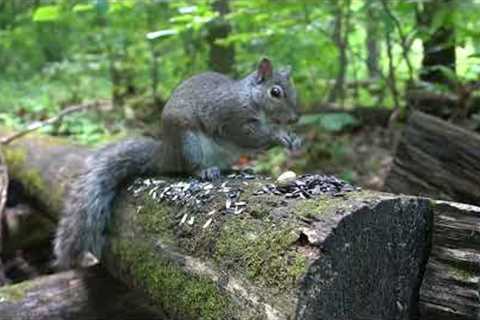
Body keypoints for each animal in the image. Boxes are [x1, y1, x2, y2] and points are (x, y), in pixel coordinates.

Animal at [53, 57, 300, 268]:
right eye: (275, 92)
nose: (296, 119)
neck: (250, 97)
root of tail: (167, 153)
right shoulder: (232, 119)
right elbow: (251, 136)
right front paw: (278, 135)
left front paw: (294, 139)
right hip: (188, 142)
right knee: (190, 167)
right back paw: (206, 171)